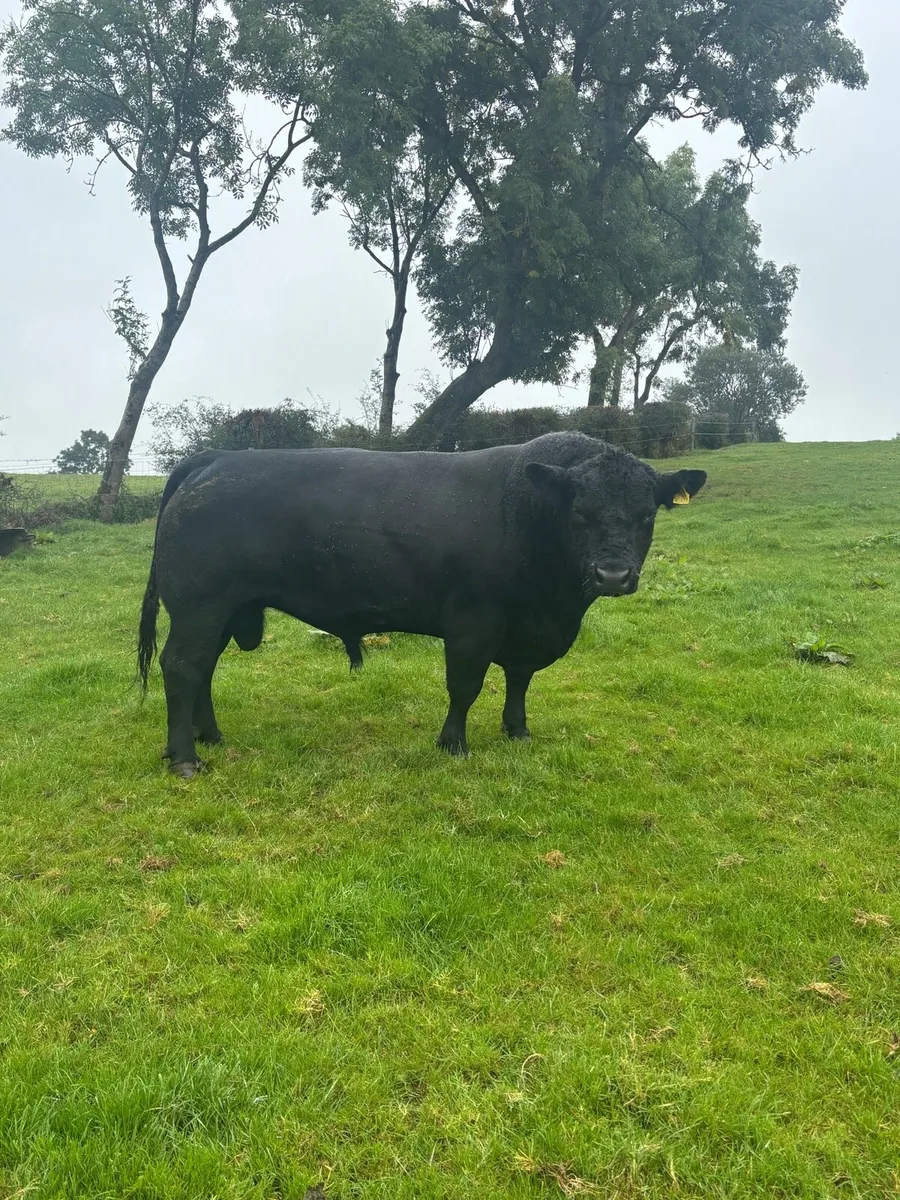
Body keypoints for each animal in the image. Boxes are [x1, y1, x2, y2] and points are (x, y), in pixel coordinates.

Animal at [137, 433, 706, 776]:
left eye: (647, 515)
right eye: (580, 513)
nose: (613, 575)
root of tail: (216, 457)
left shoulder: (528, 628)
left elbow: (520, 679)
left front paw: (517, 730)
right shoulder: (474, 622)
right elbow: (466, 685)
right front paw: (454, 744)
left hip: (222, 610)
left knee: (203, 670)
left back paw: (210, 736)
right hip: (200, 606)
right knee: (182, 666)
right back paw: (185, 758)